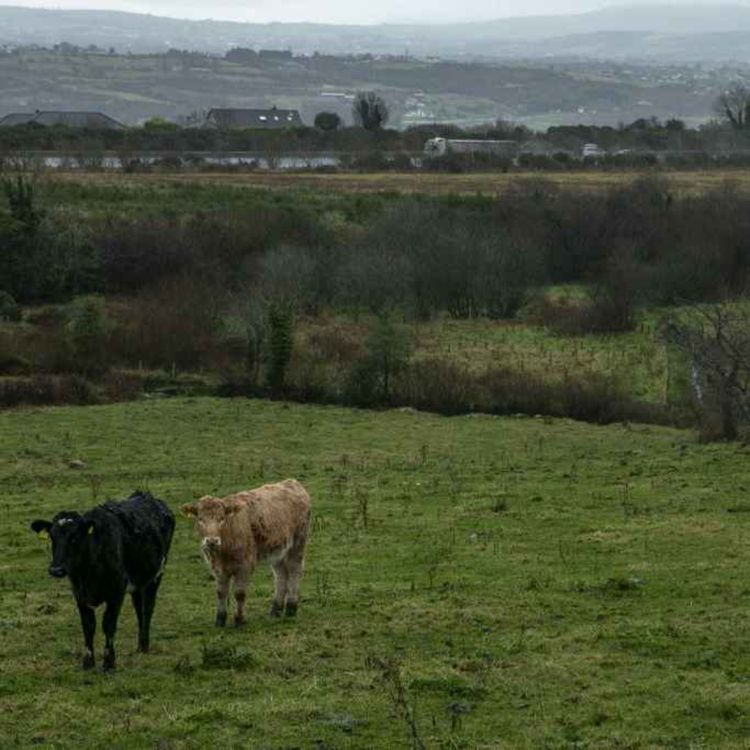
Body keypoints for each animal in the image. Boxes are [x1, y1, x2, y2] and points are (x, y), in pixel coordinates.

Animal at [30, 491, 174, 671]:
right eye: (52, 536)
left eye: (75, 536)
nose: (56, 569)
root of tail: (147, 496)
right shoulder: (79, 593)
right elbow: (88, 626)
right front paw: (88, 662)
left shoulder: (117, 590)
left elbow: (108, 624)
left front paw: (109, 662)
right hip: (137, 581)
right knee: (138, 608)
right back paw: (140, 646)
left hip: (156, 575)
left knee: (147, 608)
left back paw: (145, 644)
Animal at [181, 479, 311, 627]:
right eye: (200, 519)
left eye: (222, 518)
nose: (212, 541)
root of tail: (292, 482)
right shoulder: (218, 569)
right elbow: (221, 593)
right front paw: (220, 620)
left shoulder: (244, 566)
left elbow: (239, 593)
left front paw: (239, 620)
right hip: (278, 552)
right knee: (281, 575)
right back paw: (275, 610)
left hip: (297, 545)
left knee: (295, 571)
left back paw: (291, 608)